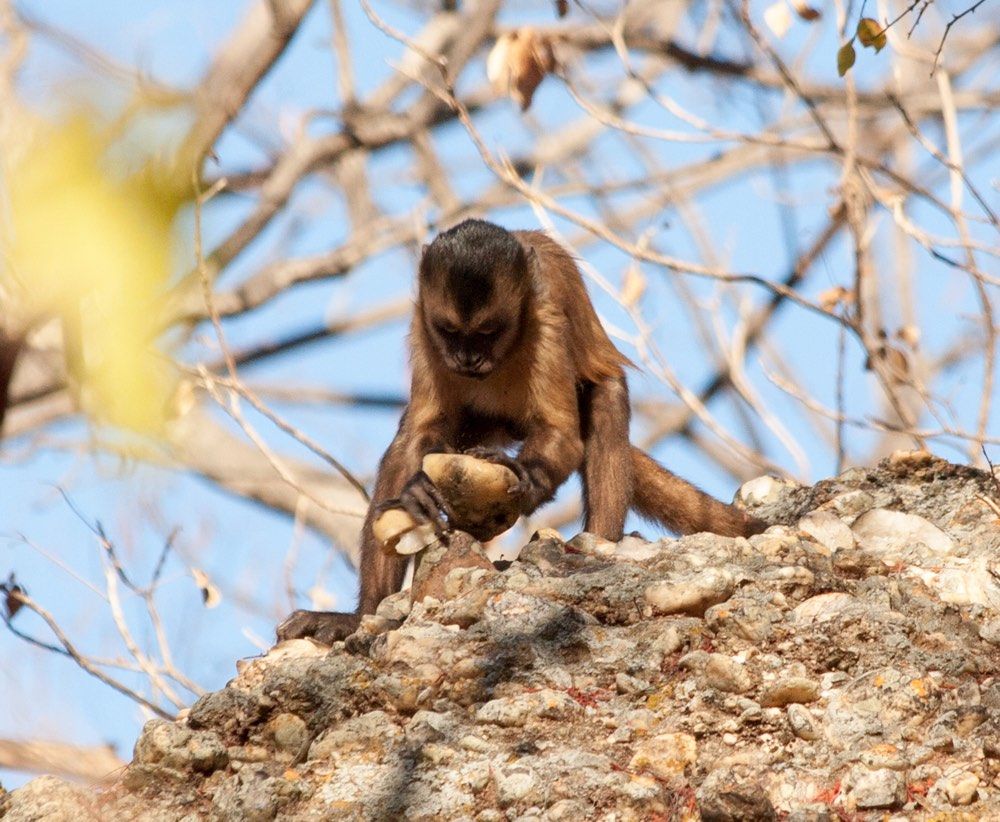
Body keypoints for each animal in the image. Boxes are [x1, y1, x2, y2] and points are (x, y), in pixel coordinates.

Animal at [278, 222, 768, 648]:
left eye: (488, 332)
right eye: (450, 332)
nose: (468, 358)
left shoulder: (546, 316)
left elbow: (562, 435)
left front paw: (526, 479)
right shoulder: (422, 323)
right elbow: (419, 434)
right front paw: (418, 491)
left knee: (604, 398)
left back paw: (598, 543)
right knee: (406, 443)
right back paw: (363, 615)